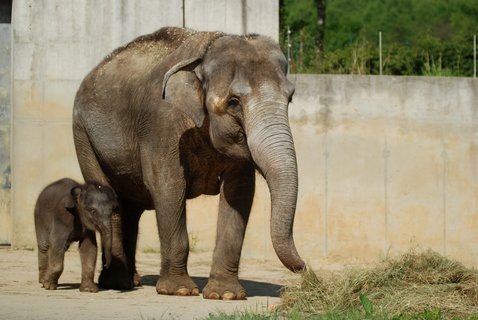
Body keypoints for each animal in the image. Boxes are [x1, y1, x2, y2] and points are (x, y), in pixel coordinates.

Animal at [74, 27, 306, 300]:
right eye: (234, 102)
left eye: (289, 99)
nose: (305, 268)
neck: (204, 55)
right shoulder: (161, 124)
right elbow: (168, 186)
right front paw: (180, 290)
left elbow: (239, 193)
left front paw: (225, 295)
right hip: (83, 136)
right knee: (108, 198)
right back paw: (118, 283)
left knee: (130, 207)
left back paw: (132, 281)